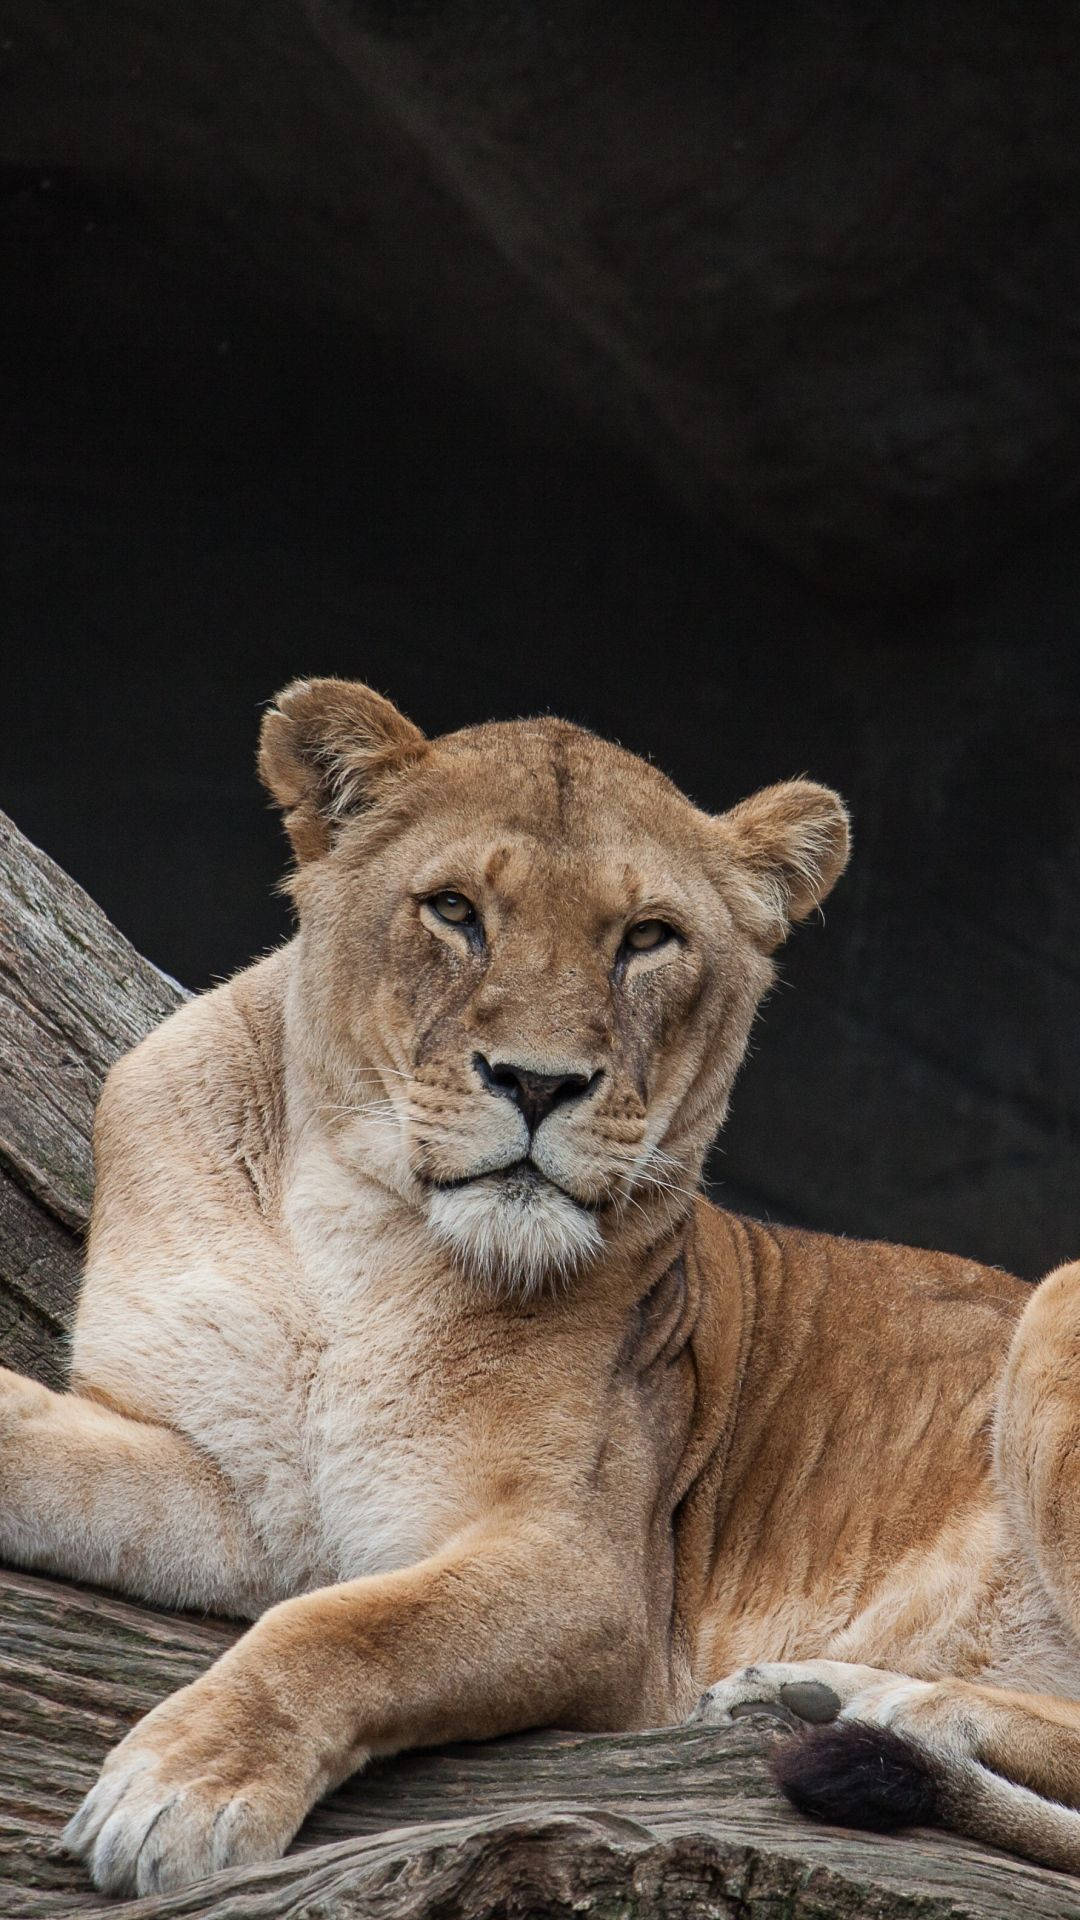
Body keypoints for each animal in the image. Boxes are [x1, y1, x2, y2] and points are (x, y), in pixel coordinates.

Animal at [4, 677, 1080, 1897]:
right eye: (455, 910)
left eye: (648, 937)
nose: (537, 1082)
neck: (356, 1243)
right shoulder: (243, 1491)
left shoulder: (591, 1573)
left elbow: (348, 1632)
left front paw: (185, 1787)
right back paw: (810, 1691)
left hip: (1056, 1301)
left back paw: (884, 1704)